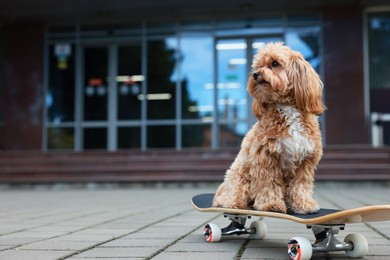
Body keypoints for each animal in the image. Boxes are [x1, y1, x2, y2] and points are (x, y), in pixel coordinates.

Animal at [212, 42, 324, 213]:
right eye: (258, 66)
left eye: (275, 63)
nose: (255, 74)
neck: (286, 107)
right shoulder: (265, 158)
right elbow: (268, 183)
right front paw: (271, 204)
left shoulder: (306, 160)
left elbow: (300, 185)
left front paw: (303, 204)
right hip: (240, 177)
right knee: (232, 196)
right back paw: (234, 203)